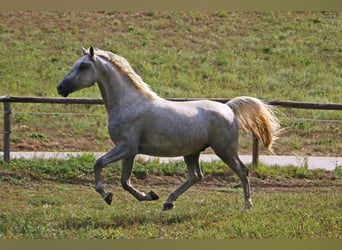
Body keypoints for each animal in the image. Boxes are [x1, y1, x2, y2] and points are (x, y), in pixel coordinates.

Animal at [56, 46, 280, 210]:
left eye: (83, 66)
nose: (60, 88)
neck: (128, 103)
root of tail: (228, 107)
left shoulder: (126, 147)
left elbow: (99, 163)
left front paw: (107, 195)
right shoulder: (130, 151)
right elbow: (125, 181)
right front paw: (149, 195)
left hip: (224, 149)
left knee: (242, 171)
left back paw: (246, 205)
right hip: (192, 153)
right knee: (196, 176)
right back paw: (167, 202)